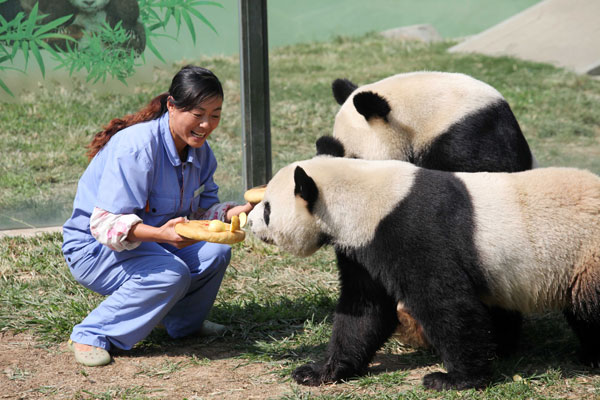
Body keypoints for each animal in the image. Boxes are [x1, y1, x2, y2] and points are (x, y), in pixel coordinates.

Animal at [247, 155, 600, 390]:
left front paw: (453, 378)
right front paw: (319, 371)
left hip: (587, 253)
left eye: (267, 208)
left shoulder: (412, 232)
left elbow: (445, 302)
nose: (249, 223)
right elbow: (364, 310)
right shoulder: (363, 245)